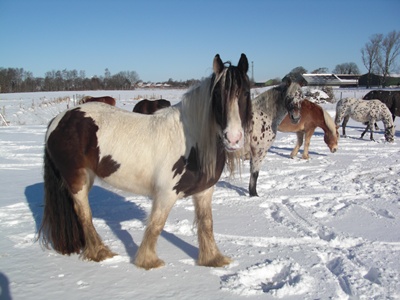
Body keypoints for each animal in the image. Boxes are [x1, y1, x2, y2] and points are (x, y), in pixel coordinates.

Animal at [39, 54, 253, 270]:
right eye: (217, 94)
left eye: (245, 92)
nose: (232, 138)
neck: (192, 138)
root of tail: (59, 119)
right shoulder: (166, 193)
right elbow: (156, 225)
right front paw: (148, 261)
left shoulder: (204, 192)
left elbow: (206, 223)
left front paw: (212, 259)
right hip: (77, 180)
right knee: (84, 214)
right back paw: (100, 253)